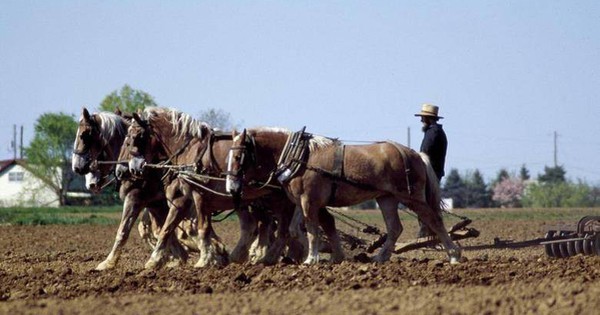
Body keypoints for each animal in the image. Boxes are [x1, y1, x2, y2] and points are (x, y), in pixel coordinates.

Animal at [116, 108, 324, 270]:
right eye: (126, 139)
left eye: (133, 138)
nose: (126, 170)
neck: (192, 150)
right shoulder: (183, 199)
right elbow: (169, 228)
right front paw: (155, 261)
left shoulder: (199, 195)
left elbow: (201, 228)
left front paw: (204, 259)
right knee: (277, 229)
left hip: (280, 200)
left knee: (285, 229)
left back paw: (275, 257)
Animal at [225, 128, 464, 264]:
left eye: (237, 156)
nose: (231, 187)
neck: (300, 156)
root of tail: (415, 154)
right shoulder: (301, 202)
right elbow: (298, 228)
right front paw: (318, 255)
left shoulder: (309, 201)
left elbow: (312, 229)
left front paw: (311, 258)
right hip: (387, 198)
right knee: (395, 228)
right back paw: (380, 257)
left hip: (411, 197)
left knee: (434, 220)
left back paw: (454, 254)